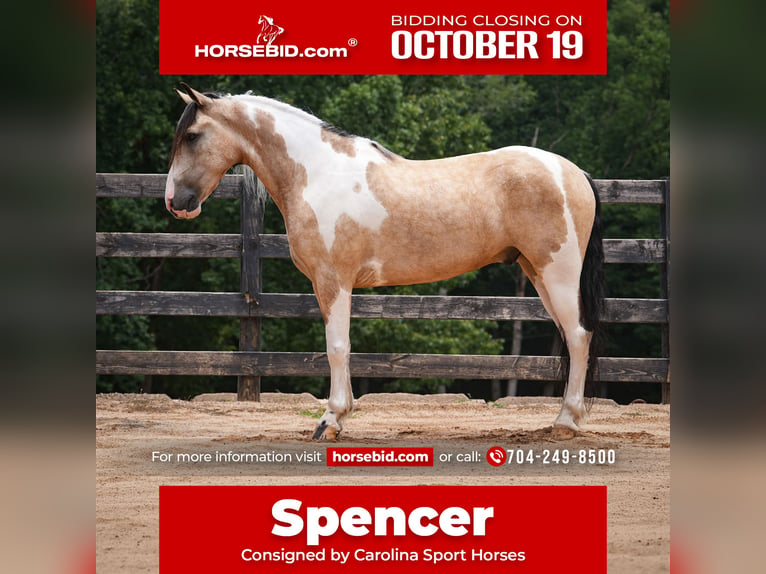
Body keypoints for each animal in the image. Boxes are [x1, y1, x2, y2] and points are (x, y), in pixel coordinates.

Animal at [165, 83, 606, 441]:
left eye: (192, 135)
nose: (175, 202)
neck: (317, 173)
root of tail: (575, 173)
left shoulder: (333, 281)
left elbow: (337, 347)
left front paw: (330, 421)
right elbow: (342, 349)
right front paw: (341, 417)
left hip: (558, 273)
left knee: (578, 336)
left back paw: (565, 422)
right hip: (538, 273)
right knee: (572, 337)